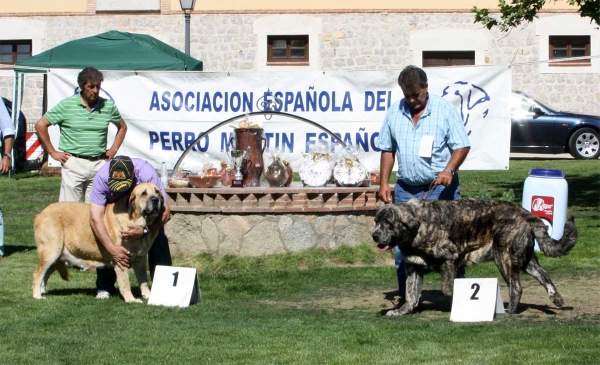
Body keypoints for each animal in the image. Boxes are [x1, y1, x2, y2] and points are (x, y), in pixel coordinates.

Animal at [32, 182, 164, 302]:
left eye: (157, 191)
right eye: (144, 193)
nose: (155, 199)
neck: (134, 219)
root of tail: (40, 214)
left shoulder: (139, 259)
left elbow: (143, 280)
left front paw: (148, 295)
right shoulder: (121, 258)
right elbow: (125, 283)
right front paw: (131, 299)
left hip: (57, 256)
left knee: (44, 274)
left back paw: (42, 292)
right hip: (51, 252)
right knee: (37, 274)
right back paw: (37, 296)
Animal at [376, 198, 576, 314]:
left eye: (388, 222)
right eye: (377, 221)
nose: (374, 235)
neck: (416, 227)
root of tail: (525, 213)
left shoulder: (449, 257)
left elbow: (447, 288)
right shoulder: (413, 266)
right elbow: (411, 291)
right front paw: (404, 310)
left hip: (505, 256)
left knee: (516, 287)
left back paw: (510, 310)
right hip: (525, 259)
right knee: (543, 274)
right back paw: (556, 298)